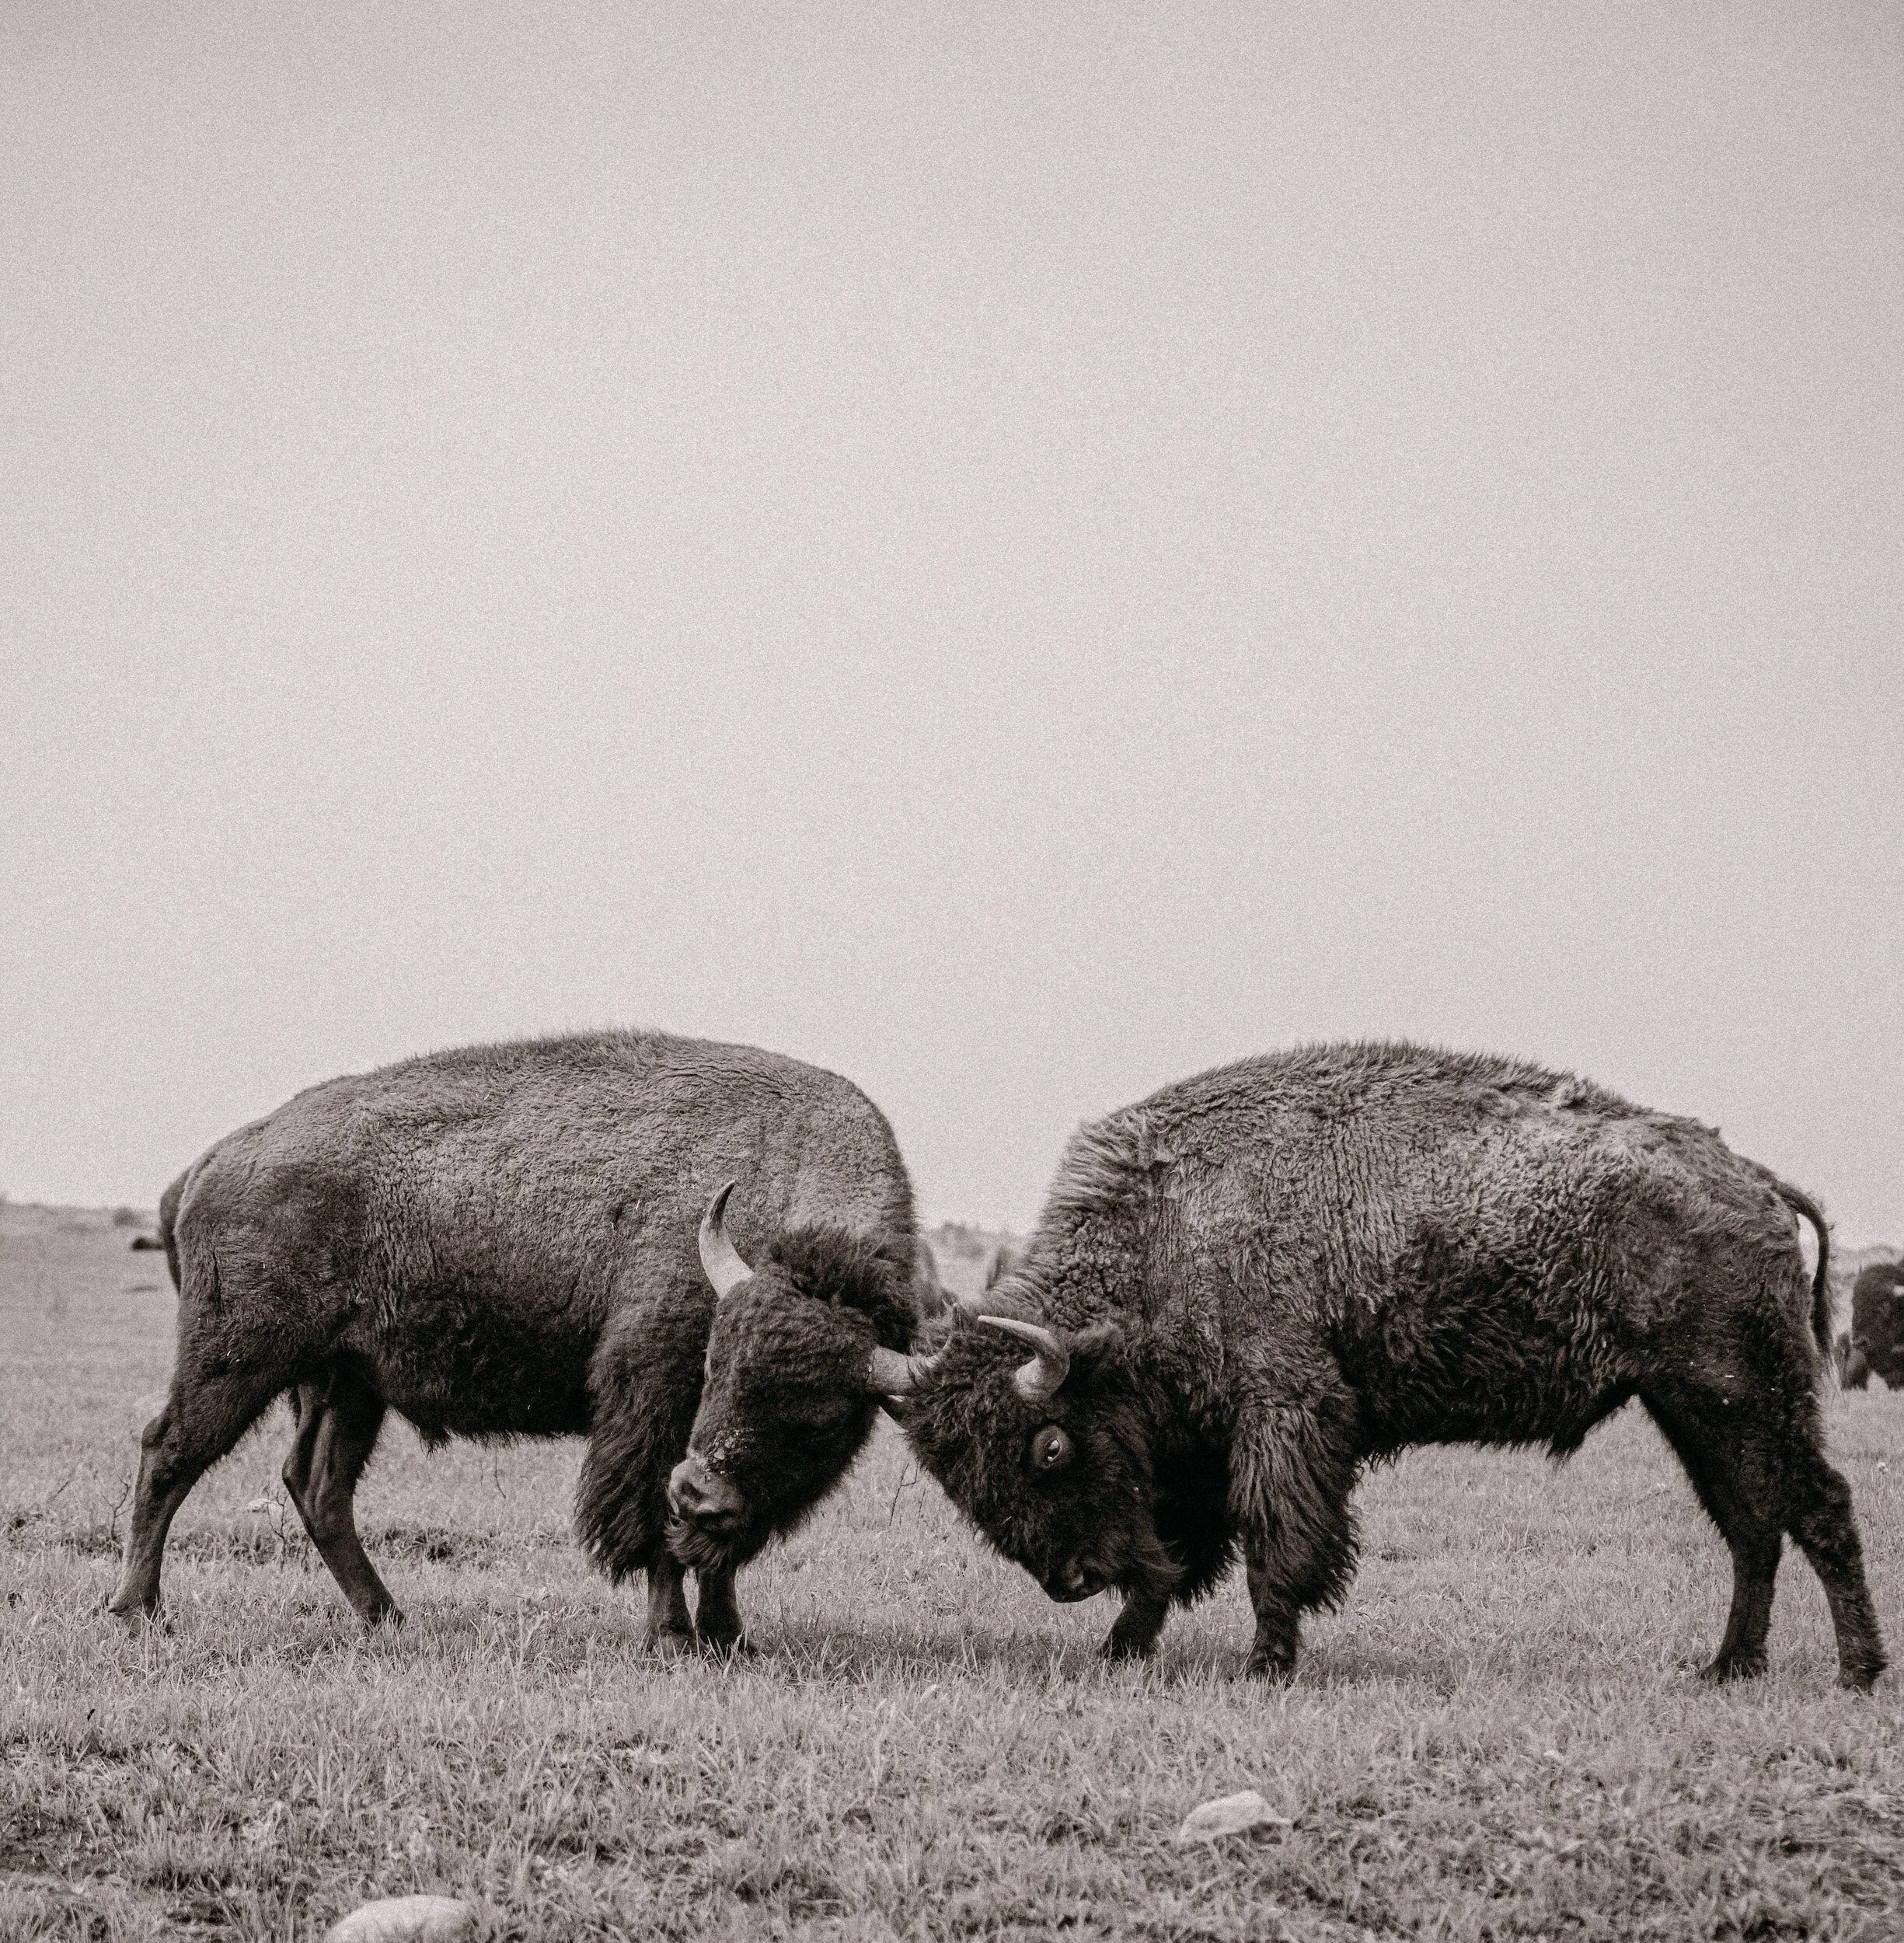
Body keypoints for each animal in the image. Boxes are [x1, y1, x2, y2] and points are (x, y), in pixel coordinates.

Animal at [109, 1031, 924, 1651]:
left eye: (822, 1418)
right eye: (714, 1368)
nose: (702, 1492)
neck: (776, 1175)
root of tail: (209, 1164)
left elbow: (720, 1553)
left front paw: (730, 1638)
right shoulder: (651, 1408)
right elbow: (653, 1529)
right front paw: (671, 1637)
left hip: (345, 1383)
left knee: (317, 1485)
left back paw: (388, 1618)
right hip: (237, 1359)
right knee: (169, 1451)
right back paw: (137, 1611)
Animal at [682, 1042, 1886, 1689]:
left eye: (1051, 1444)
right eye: (960, 1479)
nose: (1066, 1581)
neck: (1170, 1231)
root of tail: (1751, 1178)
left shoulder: (1284, 1413)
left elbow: (1270, 1543)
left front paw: (1265, 1661)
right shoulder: (1190, 1452)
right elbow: (1176, 1554)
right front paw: (1123, 1646)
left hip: (1743, 1389)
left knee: (1814, 1508)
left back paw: (1855, 1671)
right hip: (1691, 1405)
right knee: (1751, 1525)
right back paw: (1727, 1668)